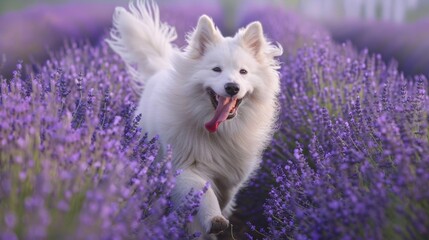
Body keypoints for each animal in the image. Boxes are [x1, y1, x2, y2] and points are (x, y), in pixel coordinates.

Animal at [106, 0, 280, 237]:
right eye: (216, 69)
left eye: (243, 71)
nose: (232, 87)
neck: (219, 131)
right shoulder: (186, 165)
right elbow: (203, 193)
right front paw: (213, 220)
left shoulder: (232, 174)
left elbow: (225, 195)